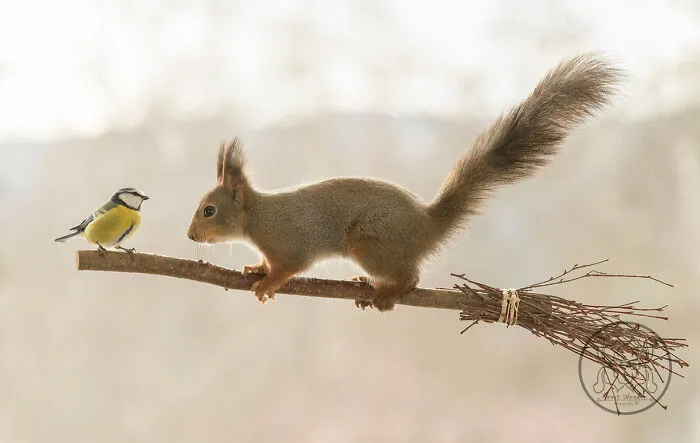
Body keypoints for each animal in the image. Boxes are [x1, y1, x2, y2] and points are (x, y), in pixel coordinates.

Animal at [187, 53, 621, 311]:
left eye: (209, 210)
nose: (190, 236)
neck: (258, 218)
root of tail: (427, 226)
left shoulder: (291, 243)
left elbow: (291, 266)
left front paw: (269, 282)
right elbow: (265, 263)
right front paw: (255, 269)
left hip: (371, 242)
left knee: (411, 277)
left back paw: (386, 291)